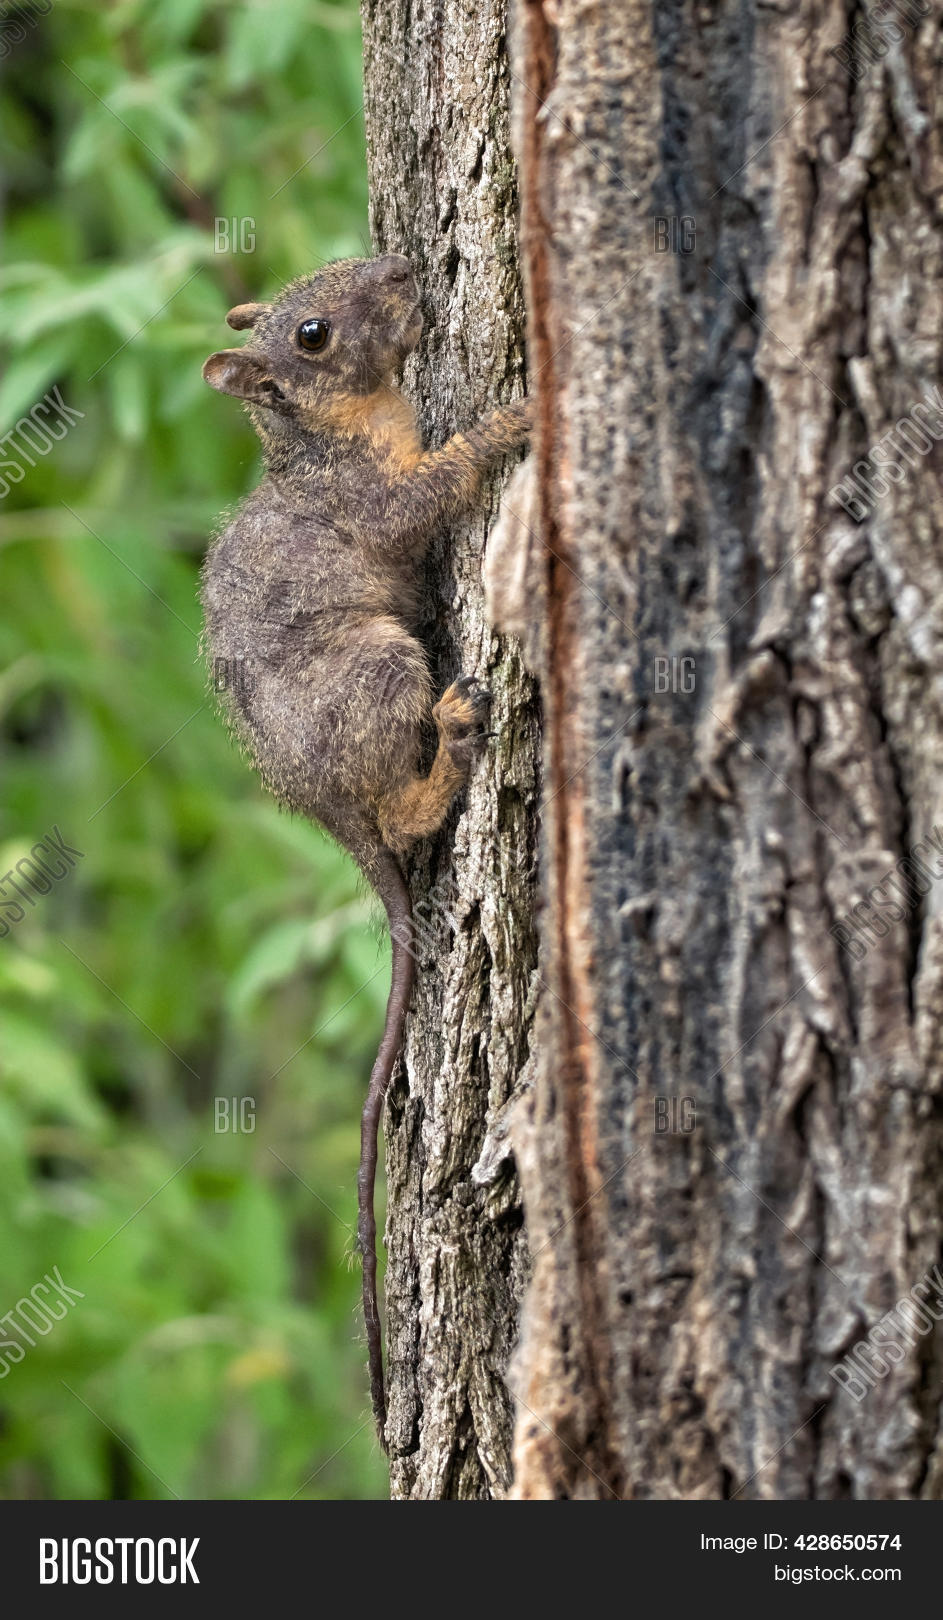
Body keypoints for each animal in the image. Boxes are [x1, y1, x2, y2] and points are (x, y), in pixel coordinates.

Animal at [199, 254, 531, 1447]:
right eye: (311, 333)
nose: (404, 267)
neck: (338, 433)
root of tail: (327, 807)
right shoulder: (374, 505)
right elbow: (429, 493)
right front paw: (505, 423)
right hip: (379, 670)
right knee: (400, 815)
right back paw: (453, 748)